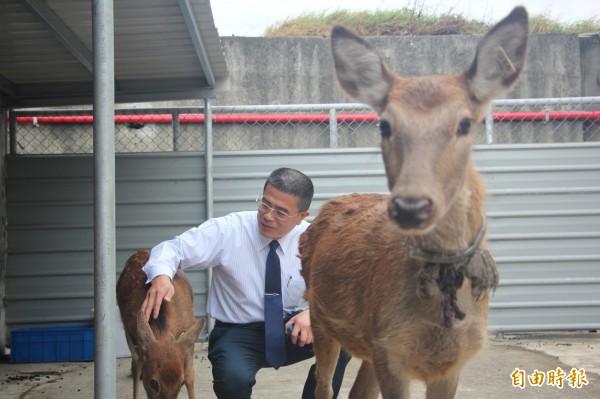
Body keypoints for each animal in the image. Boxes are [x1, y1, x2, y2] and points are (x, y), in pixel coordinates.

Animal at [116, 252, 205, 398]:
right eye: (153, 383)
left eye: (180, 383)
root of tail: (140, 251)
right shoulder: (134, 333)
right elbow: (138, 365)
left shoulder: (188, 331)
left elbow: (189, 374)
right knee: (136, 365)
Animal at [302, 6, 528, 399]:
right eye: (384, 125)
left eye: (465, 123)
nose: (411, 206)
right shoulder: (391, 348)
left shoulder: (451, 360)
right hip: (321, 316)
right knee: (324, 385)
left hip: (367, 342)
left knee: (357, 391)